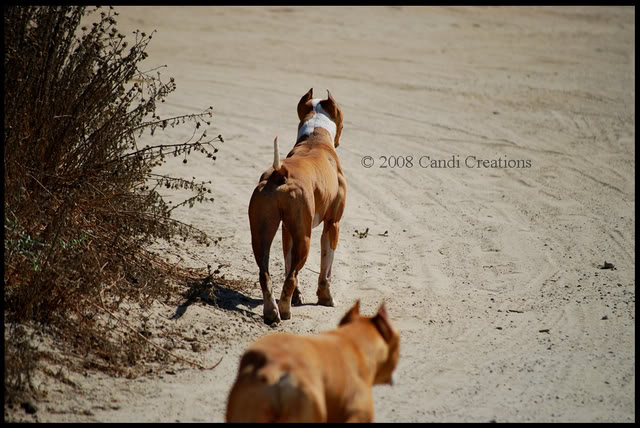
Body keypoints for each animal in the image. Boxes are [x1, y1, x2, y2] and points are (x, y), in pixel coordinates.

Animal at [249, 89, 344, 324]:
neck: (315, 138)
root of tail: (279, 172)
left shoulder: (286, 230)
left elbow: (287, 263)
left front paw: (297, 297)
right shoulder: (332, 225)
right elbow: (325, 269)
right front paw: (326, 298)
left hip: (262, 234)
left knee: (266, 274)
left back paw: (271, 311)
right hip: (305, 238)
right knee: (292, 276)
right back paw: (284, 310)